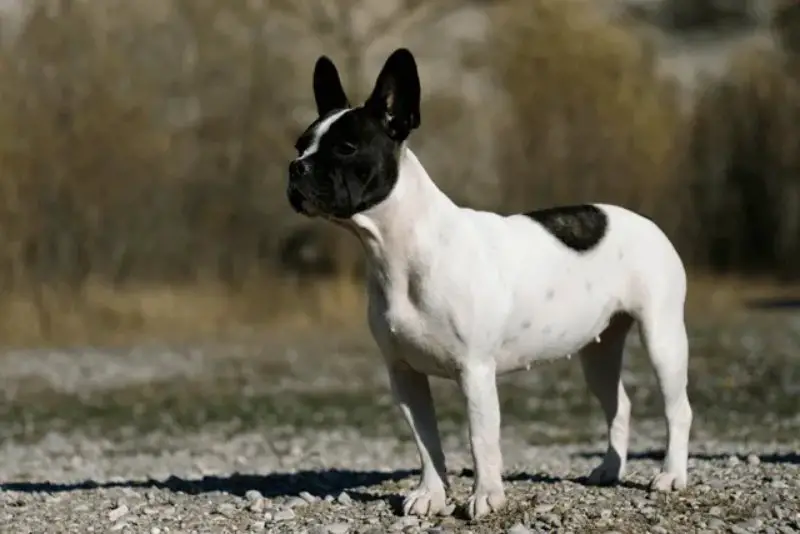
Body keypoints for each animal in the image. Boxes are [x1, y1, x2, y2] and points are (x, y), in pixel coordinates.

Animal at [288, 48, 692, 520]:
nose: (296, 167)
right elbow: (426, 442)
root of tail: (645, 221)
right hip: (598, 350)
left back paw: (671, 475)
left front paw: (485, 498)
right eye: (300, 145)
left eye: (346, 147)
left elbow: (480, 439)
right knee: (619, 404)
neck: (398, 248)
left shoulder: (475, 371)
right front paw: (431, 495)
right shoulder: (405, 375)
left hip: (662, 337)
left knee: (677, 408)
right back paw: (610, 469)